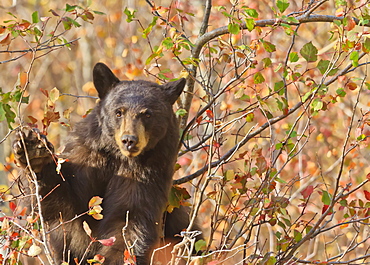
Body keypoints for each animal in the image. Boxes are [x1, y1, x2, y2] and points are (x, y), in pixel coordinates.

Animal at [12, 63, 188, 262]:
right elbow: (67, 210)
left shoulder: (149, 171)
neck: (118, 157)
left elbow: (131, 218)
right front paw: (34, 152)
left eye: (147, 115)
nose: (129, 140)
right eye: (119, 112)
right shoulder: (88, 158)